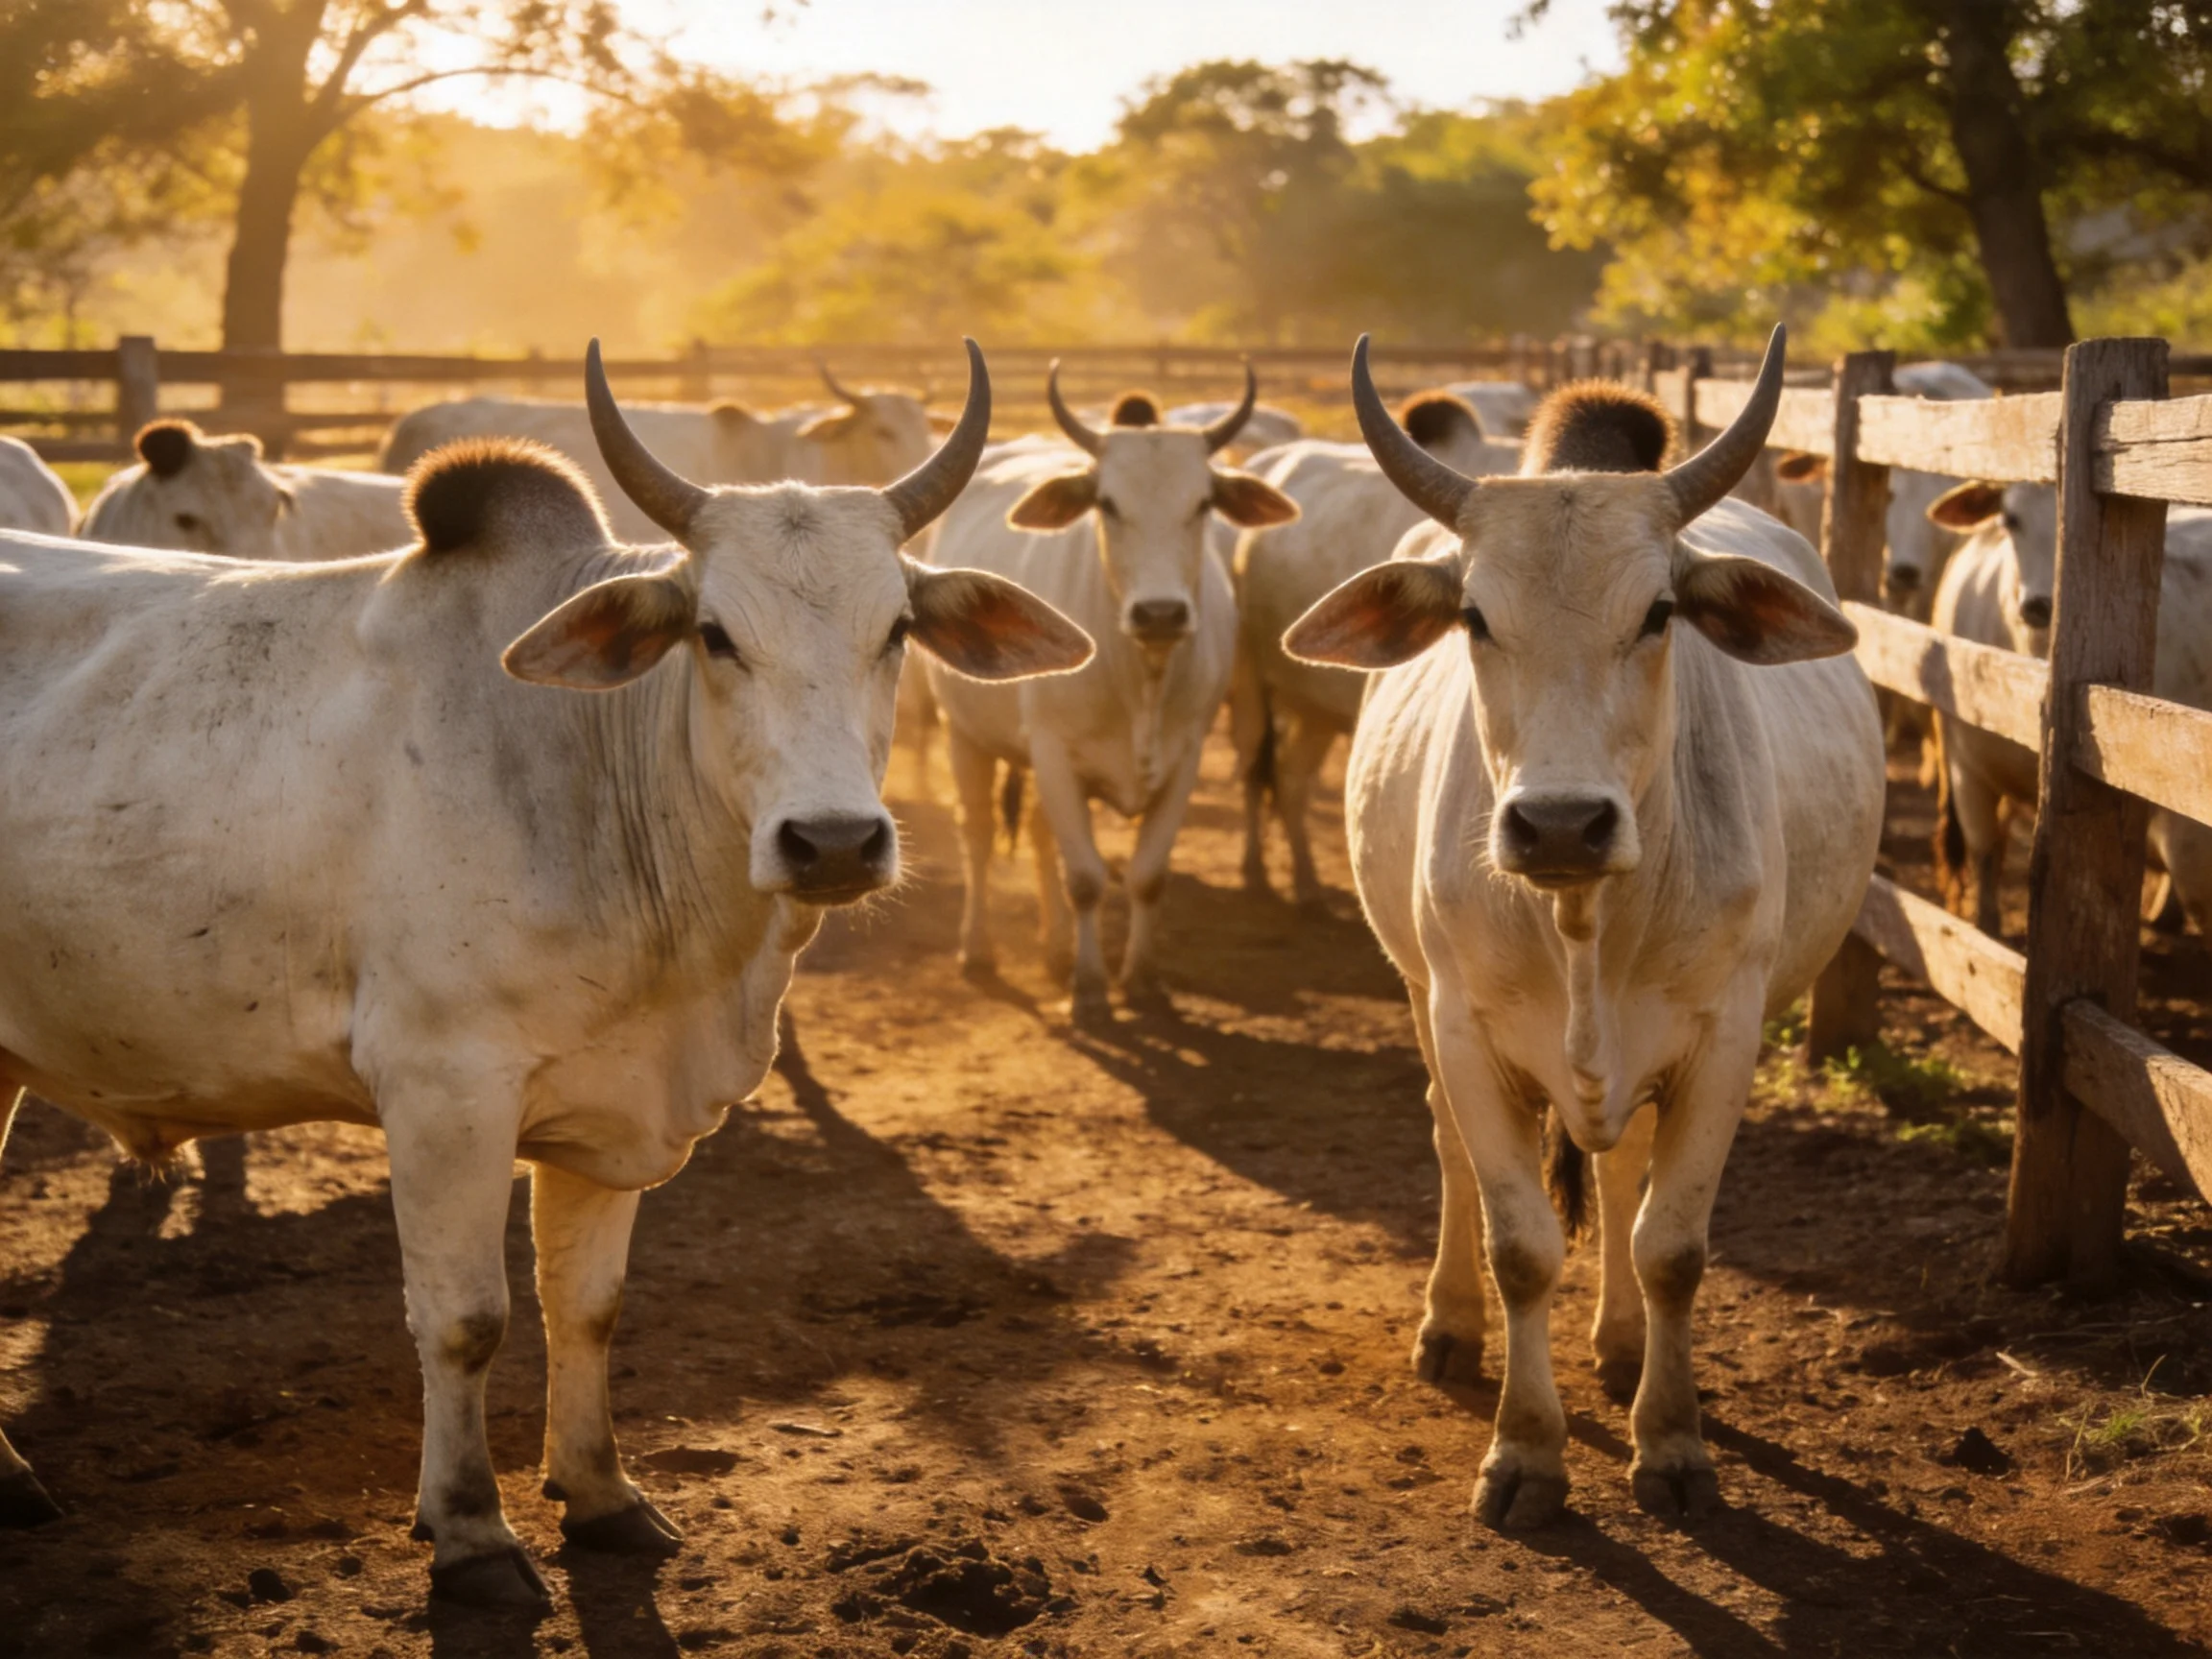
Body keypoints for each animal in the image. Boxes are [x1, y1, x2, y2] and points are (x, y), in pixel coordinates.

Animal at [925, 367, 1298, 1018]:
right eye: (1107, 504)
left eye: (1203, 503)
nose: (1160, 613)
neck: (1142, 677)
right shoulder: (1053, 751)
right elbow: (1085, 877)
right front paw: (1090, 988)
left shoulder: (1185, 757)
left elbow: (1147, 875)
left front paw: (1141, 979)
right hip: (963, 732)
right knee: (977, 833)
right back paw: (978, 948)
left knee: (1040, 835)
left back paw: (1053, 947)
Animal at [1230, 391, 1524, 905]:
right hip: (1251, 679)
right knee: (1254, 767)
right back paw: (1255, 870)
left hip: (1315, 706)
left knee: (1291, 778)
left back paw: (1306, 881)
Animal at [1284, 328, 1884, 1528]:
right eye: (1473, 617)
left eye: (1659, 613)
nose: (1560, 821)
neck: (1584, 920)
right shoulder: (1466, 1029)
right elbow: (1521, 1246)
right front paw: (1525, 1453)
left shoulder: (1726, 1037)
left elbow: (1672, 1248)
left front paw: (1672, 1443)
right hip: (1421, 997)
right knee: (1450, 1149)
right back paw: (1451, 1325)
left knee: (1622, 1175)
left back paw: (1620, 1345)